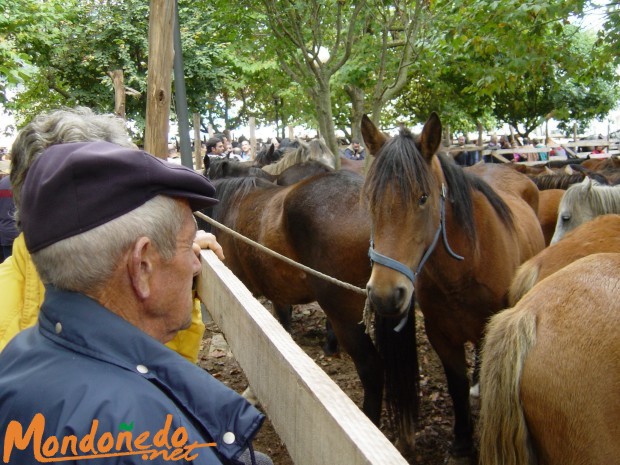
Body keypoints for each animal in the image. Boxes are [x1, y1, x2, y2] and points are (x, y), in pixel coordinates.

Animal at [360, 114, 544, 458]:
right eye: (370, 201)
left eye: (423, 198)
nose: (385, 294)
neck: (468, 265)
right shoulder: (441, 335)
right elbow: (456, 384)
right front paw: (461, 440)